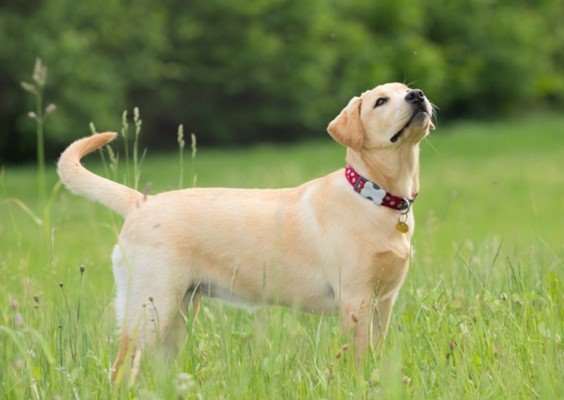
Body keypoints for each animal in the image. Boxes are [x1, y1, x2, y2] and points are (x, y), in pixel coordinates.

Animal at [57, 81, 434, 382]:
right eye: (380, 101)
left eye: (407, 89)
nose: (417, 95)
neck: (376, 197)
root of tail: (141, 202)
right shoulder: (356, 300)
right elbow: (358, 357)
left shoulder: (384, 301)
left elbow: (377, 350)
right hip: (150, 307)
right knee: (120, 367)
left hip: (177, 314)